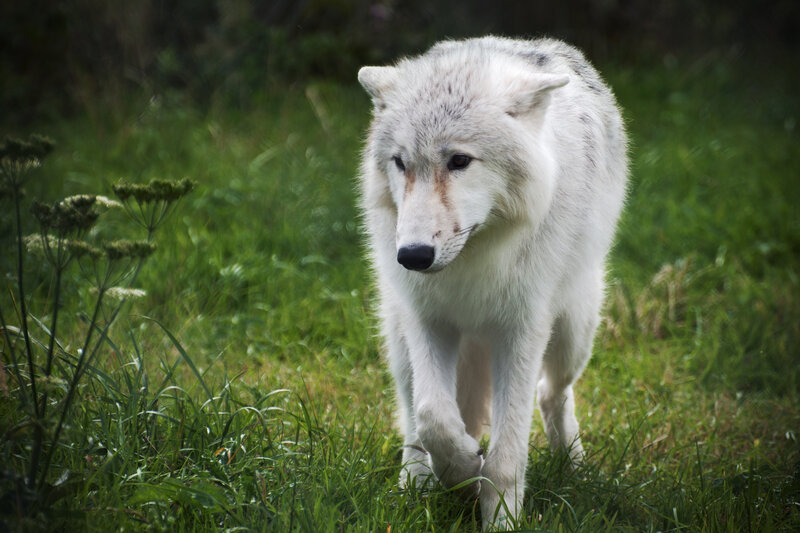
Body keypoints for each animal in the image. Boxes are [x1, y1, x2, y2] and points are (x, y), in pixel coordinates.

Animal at [357, 36, 627, 530]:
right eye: (400, 163)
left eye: (460, 161)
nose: (412, 256)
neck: (472, 260)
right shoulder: (429, 322)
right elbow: (434, 418)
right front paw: (463, 472)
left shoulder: (519, 332)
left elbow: (506, 455)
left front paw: (500, 517)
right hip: (397, 340)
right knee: (411, 419)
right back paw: (413, 488)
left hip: (572, 333)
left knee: (551, 394)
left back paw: (573, 466)